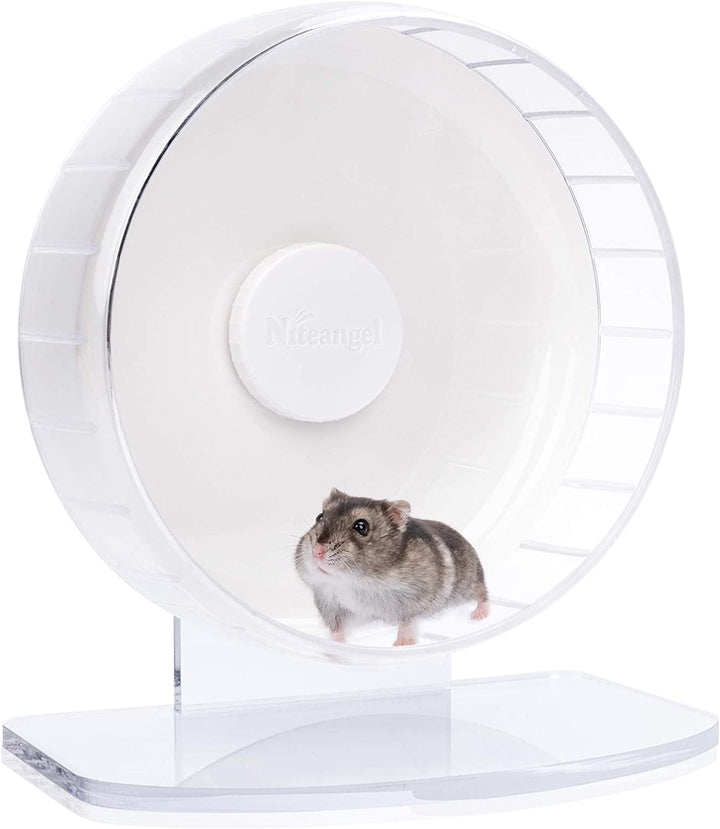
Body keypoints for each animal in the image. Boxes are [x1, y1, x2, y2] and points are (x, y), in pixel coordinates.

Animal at [295, 488, 489, 646]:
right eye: (319, 517)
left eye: (361, 526)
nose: (317, 551)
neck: (355, 580)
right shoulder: (327, 602)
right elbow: (336, 628)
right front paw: (337, 648)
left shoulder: (415, 599)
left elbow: (407, 621)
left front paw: (401, 644)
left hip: (470, 582)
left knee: (483, 593)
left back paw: (479, 616)